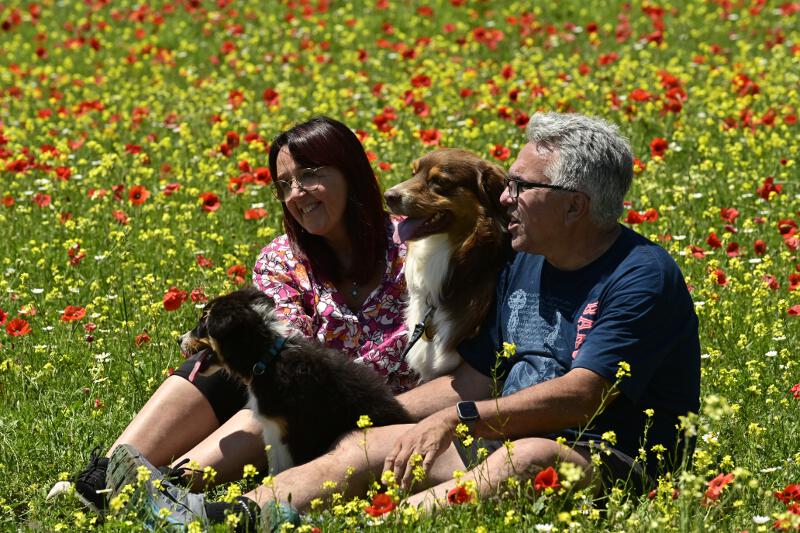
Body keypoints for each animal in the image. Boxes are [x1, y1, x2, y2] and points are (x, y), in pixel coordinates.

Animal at [178, 284, 410, 472]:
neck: (267, 359)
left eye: (203, 323)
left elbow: (284, 469)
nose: (179, 339)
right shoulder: (274, 430)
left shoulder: (296, 432)